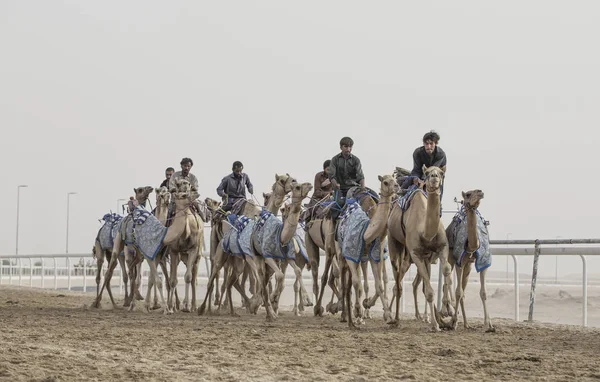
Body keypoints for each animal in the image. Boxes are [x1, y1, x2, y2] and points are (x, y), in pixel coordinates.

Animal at [197, 174, 298, 316]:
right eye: (282, 180)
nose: (294, 181)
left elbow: (264, 279)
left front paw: (261, 305)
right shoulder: (250, 257)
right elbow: (257, 279)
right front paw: (258, 304)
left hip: (234, 258)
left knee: (232, 280)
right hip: (216, 248)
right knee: (215, 273)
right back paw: (208, 307)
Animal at [338, 175, 398, 326]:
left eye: (395, 180)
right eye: (385, 182)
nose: (397, 187)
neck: (366, 232)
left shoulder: (373, 255)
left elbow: (379, 284)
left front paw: (387, 315)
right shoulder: (352, 254)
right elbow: (357, 283)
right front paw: (358, 311)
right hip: (340, 252)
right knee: (344, 280)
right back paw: (345, 314)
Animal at [386, 166, 452, 332]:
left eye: (441, 173)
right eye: (427, 173)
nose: (434, 177)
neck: (425, 232)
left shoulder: (441, 248)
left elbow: (447, 269)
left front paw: (447, 309)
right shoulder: (415, 254)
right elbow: (428, 292)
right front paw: (435, 324)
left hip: (423, 257)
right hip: (395, 243)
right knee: (397, 280)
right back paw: (394, 319)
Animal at [448, 190, 494, 332]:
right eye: (468, 194)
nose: (480, 192)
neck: (473, 246)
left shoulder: (484, 263)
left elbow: (483, 292)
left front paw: (488, 325)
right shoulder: (459, 262)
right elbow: (458, 292)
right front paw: (454, 323)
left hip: (468, 266)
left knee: (463, 289)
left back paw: (467, 324)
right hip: (451, 259)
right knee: (455, 287)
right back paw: (455, 321)